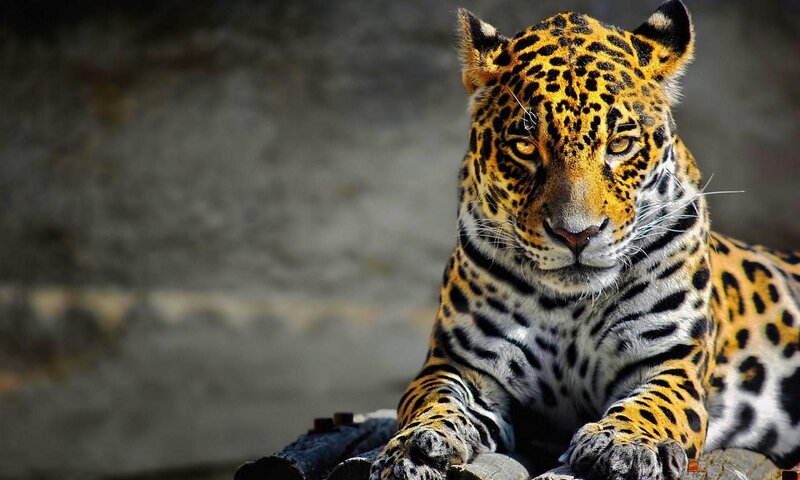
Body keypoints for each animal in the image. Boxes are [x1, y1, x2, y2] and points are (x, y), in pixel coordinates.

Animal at [369, 1, 800, 479]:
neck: (571, 307)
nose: (577, 234)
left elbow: (652, 405)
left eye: (621, 144)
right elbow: (432, 401)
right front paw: (417, 446)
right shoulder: (459, 364)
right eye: (525, 147)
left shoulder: (671, 363)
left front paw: (623, 444)